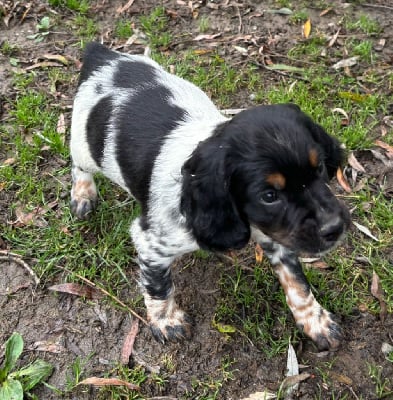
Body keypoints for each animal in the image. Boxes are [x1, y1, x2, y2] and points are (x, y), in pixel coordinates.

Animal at [69, 42, 350, 350]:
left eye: (319, 167)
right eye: (269, 195)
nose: (335, 228)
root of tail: (103, 55)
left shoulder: (279, 234)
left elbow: (297, 281)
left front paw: (315, 321)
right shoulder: (152, 243)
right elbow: (158, 287)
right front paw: (167, 322)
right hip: (84, 147)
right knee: (79, 167)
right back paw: (83, 195)